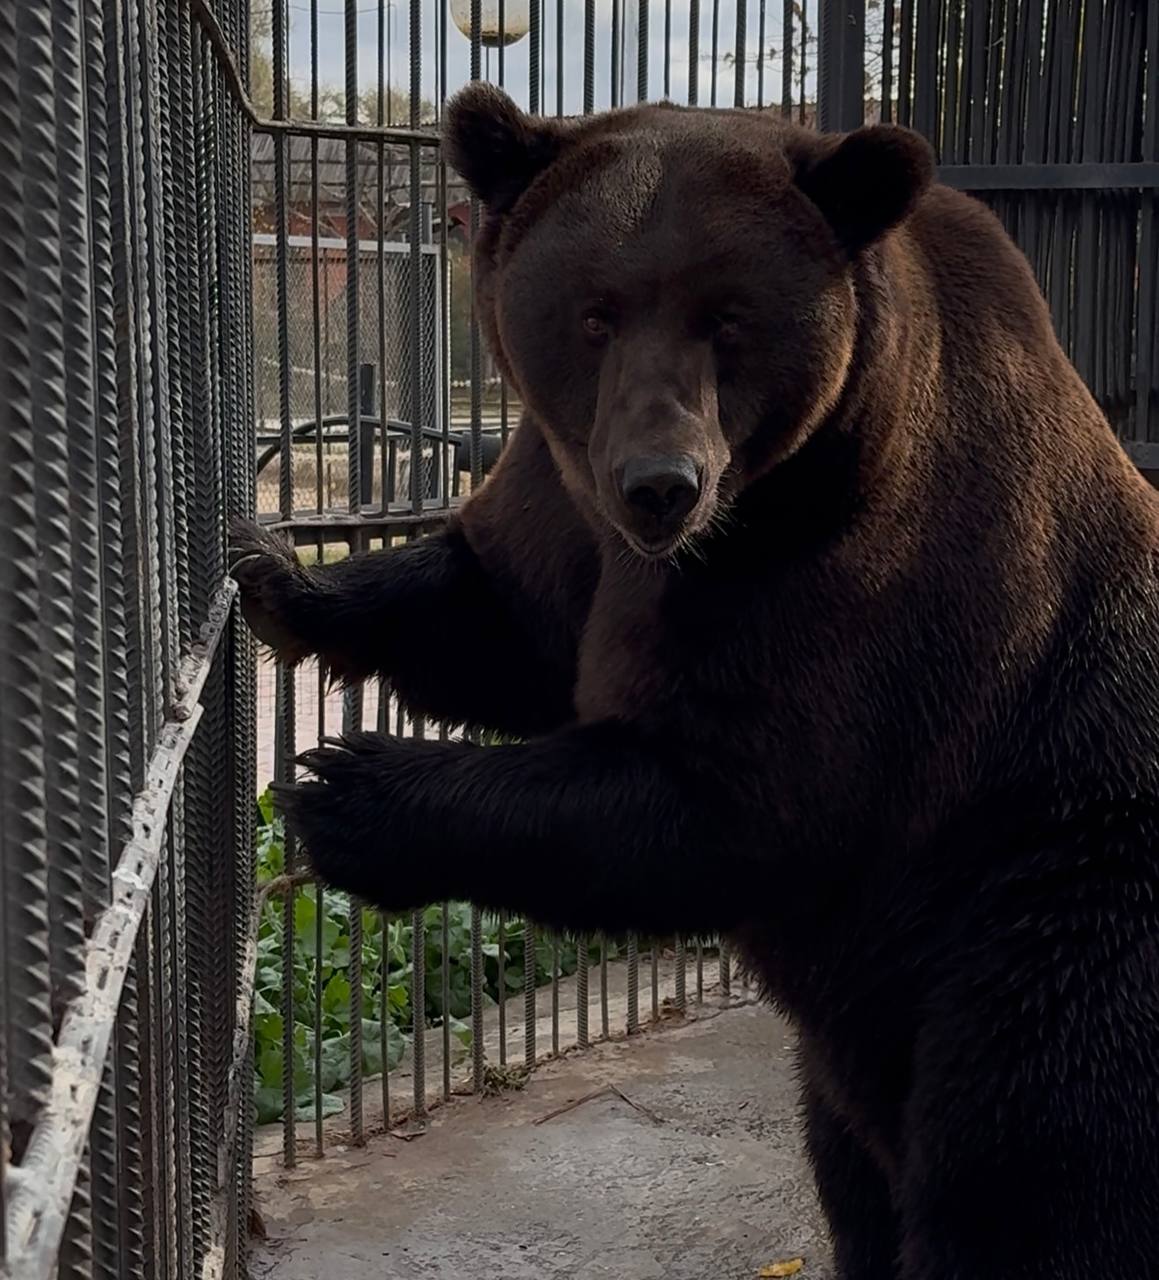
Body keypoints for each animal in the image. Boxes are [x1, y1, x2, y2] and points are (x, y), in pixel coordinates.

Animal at [230, 84, 1159, 1277]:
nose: (659, 483)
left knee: (1029, 1172)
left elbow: (735, 794)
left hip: (1043, 915)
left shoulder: (868, 582)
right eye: (593, 314)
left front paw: (345, 786)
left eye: (728, 316)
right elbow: (504, 617)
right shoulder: (564, 498)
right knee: (852, 1157)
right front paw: (280, 577)